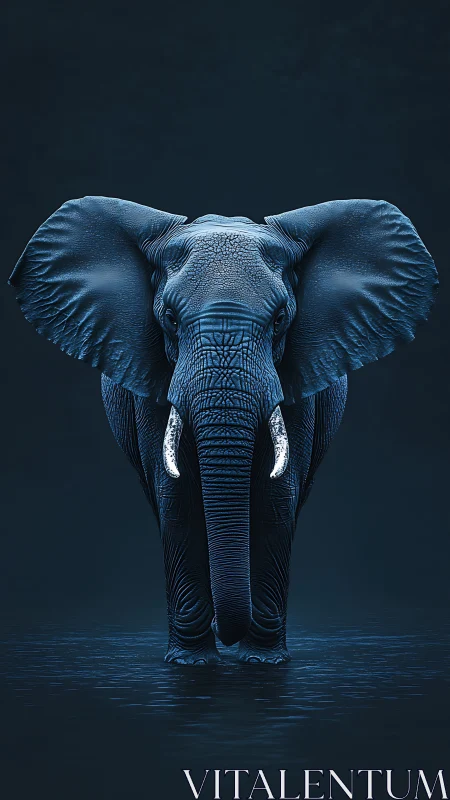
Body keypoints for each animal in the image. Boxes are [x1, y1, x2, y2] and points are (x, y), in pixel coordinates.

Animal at [10, 196, 437, 664]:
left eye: (281, 318)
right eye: (170, 318)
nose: (227, 631)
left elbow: (275, 501)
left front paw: (262, 661)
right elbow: (177, 501)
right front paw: (192, 663)